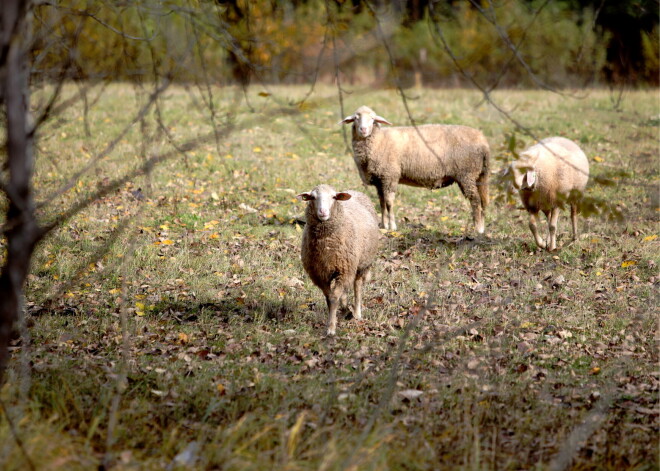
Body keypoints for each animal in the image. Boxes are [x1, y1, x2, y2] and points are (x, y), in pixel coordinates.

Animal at [296, 183, 378, 336]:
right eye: (312, 197)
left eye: (334, 197)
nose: (322, 212)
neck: (326, 245)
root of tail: (353, 191)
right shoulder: (320, 274)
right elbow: (330, 298)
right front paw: (337, 317)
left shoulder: (344, 270)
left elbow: (334, 297)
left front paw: (331, 329)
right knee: (345, 291)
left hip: (360, 264)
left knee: (357, 286)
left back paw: (357, 313)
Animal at [340, 105, 490, 234]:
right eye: (356, 118)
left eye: (372, 118)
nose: (363, 130)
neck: (379, 140)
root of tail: (483, 140)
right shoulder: (379, 180)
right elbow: (382, 203)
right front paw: (383, 225)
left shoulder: (390, 176)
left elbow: (389, 202)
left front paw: (392, 226)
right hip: (478, 175)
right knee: (482, 201)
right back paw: (481, 227)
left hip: (467, 174)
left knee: (475, 201)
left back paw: (477, 229)